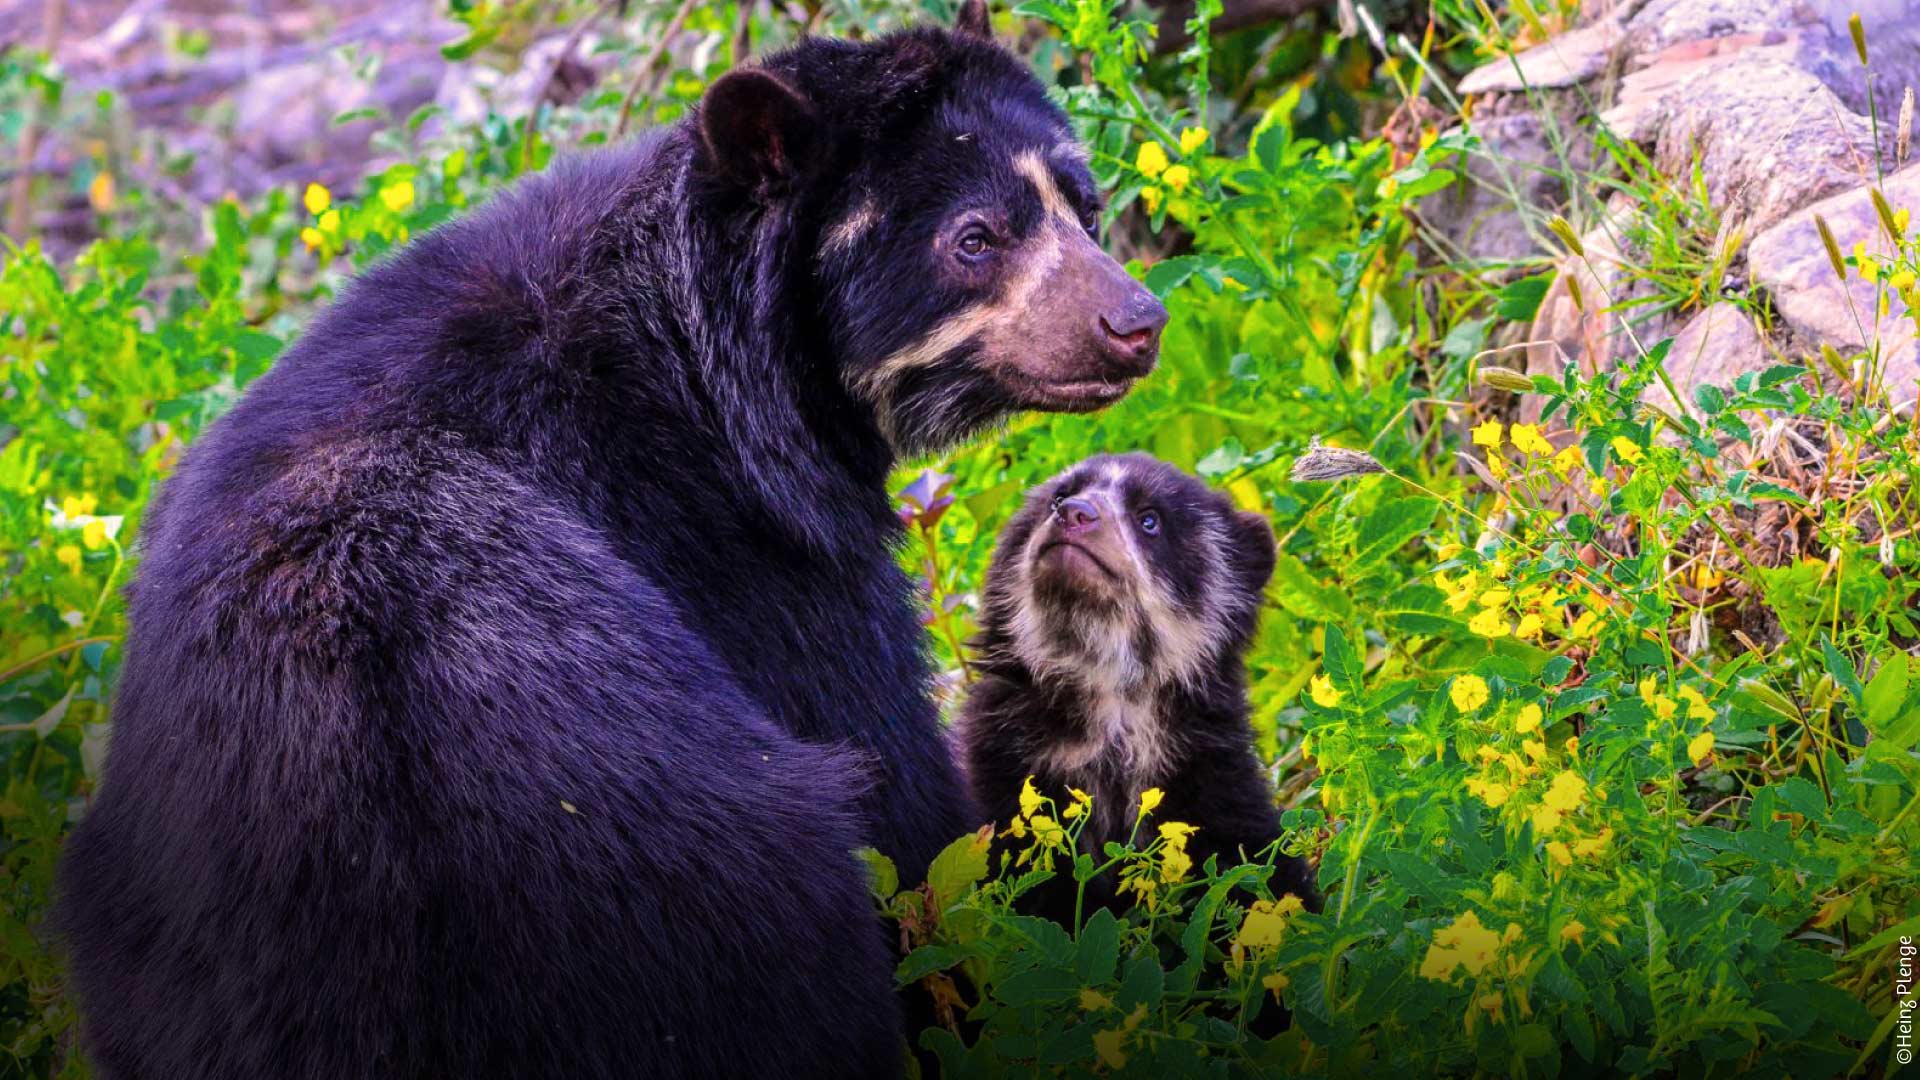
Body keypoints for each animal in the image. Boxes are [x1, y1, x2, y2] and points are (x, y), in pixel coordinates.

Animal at [54, 7, 1168, 1078]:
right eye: (975, 238)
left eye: (1083, 207)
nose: (1136, 321)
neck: (723, 361)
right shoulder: (737, 541)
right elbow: (898, 788)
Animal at [958, 453, 1318, 919]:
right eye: (1059, 495)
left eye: (1150, 520)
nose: (1074, 513)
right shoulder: (1002, 766)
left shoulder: (1207, 774)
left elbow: (1254, 863)